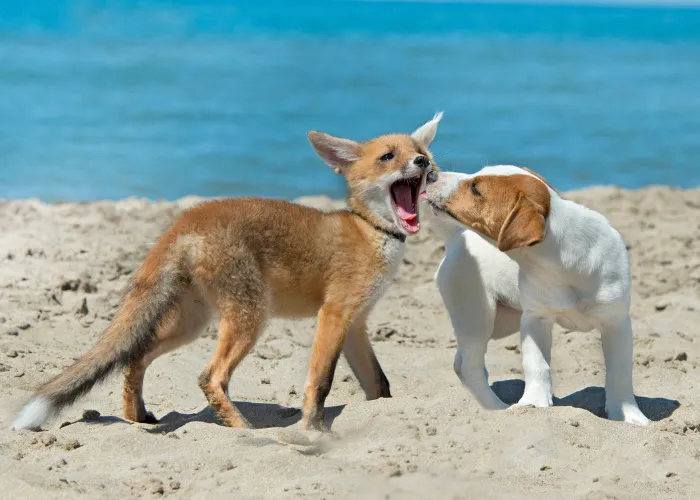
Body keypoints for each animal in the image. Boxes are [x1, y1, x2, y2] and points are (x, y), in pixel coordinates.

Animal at [12, 112, 442, 430]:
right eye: (388, 156)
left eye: (421, 151)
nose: (424, 162)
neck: (370, 230)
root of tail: (187, 219)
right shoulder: (334, 313)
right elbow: (320, 383)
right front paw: (314, 429)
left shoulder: (356, 324)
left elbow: (379, 385)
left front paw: (382, 413)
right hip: (250, 317)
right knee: (210, 376)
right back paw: (244, 431)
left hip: (191, 323)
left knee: (136, 357)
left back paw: (138, 417)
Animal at [426, 166, 652, 424]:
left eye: (476, 188)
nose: (431, 173)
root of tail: (456, 239)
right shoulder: (535, 318)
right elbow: (537, 365)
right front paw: (533, 404)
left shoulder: (617, 323)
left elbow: (620, 373)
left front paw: (628, 416)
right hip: (476, 316)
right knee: (469, 366)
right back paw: (498, 408)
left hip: (500, 321)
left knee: (461, 361)